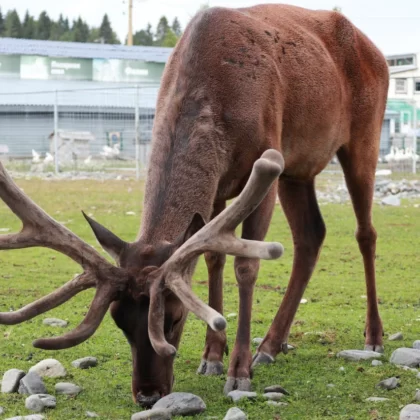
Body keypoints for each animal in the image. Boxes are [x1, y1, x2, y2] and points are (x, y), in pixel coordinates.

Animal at [0, 3, 390, 408]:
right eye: (119, 321)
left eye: (174, 319)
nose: (147, 395)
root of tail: (376, 51)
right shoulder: (218, 189)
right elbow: (212, 258)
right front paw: (212, 356)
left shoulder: (268, 160)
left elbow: (246, 267)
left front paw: (239, 371)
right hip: (299, 170)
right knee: (312, 234)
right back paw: (271, 344)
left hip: (364, 136)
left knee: (365, 233)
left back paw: (372, 337)